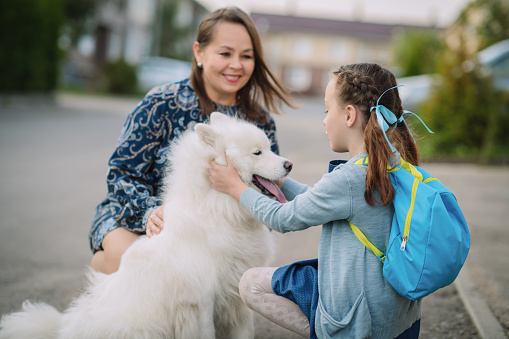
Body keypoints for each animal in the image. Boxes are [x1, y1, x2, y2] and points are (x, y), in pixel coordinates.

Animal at [0, 113, 292, 339]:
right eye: (257, 152)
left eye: (269, 147)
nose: (289, 164)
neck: (219, 209)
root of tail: (66, 329)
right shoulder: (200, 303)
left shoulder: (235, 295)